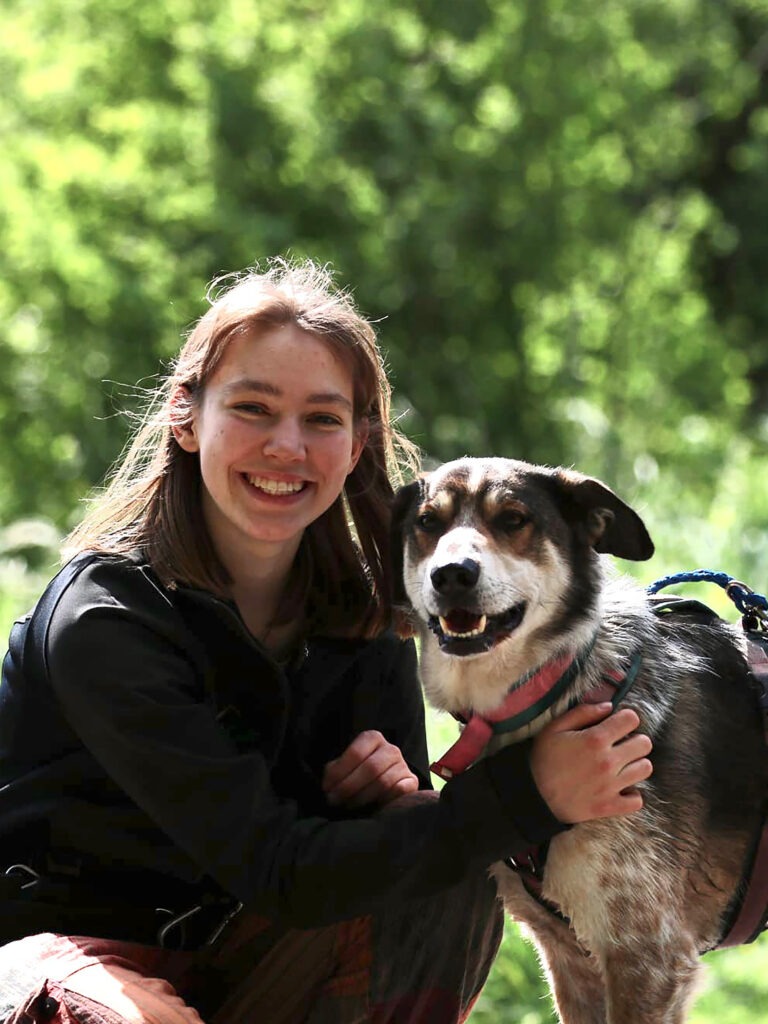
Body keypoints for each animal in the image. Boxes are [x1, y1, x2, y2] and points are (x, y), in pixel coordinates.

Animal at [393, 458, 765, 1024]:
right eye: (428, 523)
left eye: (513, 519)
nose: (452, 574)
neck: (561, 689)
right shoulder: (568, 954)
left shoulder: (649, 959)